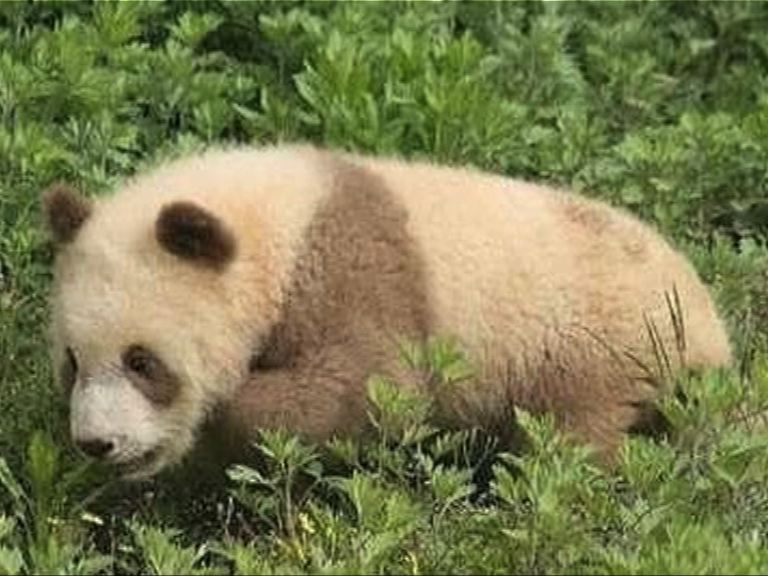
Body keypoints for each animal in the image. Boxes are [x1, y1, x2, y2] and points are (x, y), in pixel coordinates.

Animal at [43, 144, 731, 479]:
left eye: (143, 362)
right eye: (72, 362)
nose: (96, 444)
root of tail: (709, 324)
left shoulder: (352, 269)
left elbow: (376, 388)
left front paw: (224, 421)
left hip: (598, 343)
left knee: (572, 438)